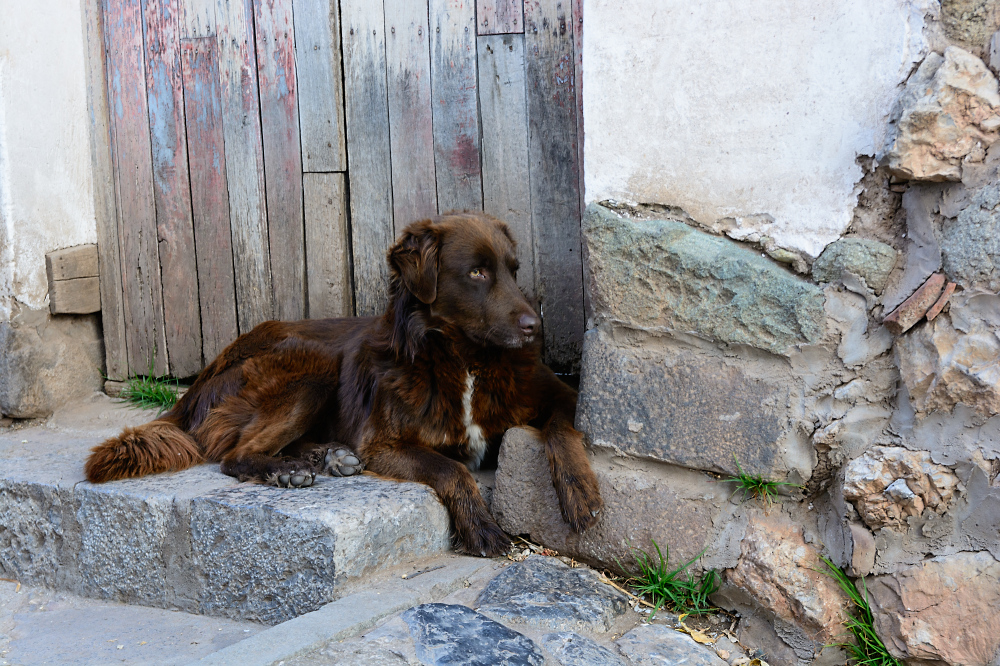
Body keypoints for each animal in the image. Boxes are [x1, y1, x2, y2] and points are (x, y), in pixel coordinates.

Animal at [84, 213, 600, 556]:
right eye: (477, 272)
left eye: (513, 271)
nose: (536, 327)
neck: (464, 362)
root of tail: (204, 375)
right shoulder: (385, 443)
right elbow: (453, 470)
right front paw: (482, 528)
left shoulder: (560, 394)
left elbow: (564, 431)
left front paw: (580, 494)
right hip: (313, 363)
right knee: (234, 454)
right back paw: (287, 470)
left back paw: (327, 457)